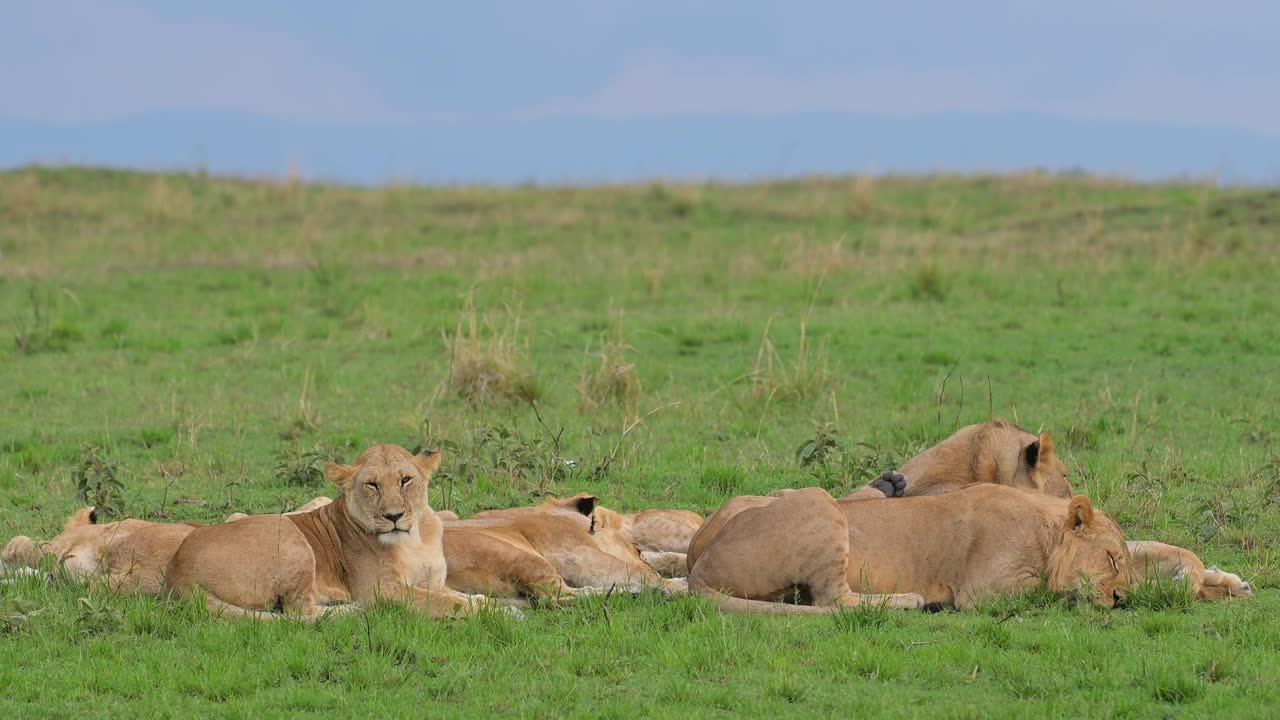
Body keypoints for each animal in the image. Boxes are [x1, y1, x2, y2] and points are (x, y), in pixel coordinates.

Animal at [165, 443, 494, 617]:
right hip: (291, 536)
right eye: (372, 485)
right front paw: (489, 612)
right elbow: (449, 602)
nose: (394, 516)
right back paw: (355, 610)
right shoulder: (384, 589)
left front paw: (492, 605)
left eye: (405, 480)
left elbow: (467, 596)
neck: (415, 538)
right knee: (301, 613)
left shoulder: (434, 581)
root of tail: (178, 567)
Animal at [691, 481, 1131, 609]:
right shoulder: (982, 592)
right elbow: (1047, 589)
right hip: (821, 502)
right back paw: (913, 600)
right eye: (1112, 559)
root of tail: (701, 563)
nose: (1123, 599)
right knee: (833, 600)